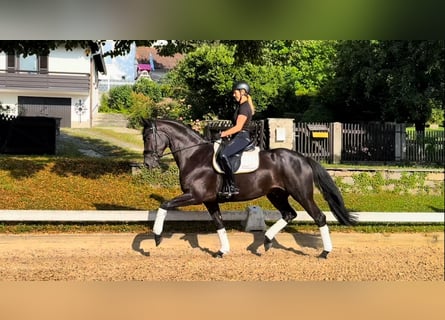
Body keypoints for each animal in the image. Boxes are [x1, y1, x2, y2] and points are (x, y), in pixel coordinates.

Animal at [144, 119, 356, 258]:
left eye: (148, 137)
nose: (147, 164)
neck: (195, 155)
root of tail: (302, 158)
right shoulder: (209, 200)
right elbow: (219, 223)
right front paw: (222, 251)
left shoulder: (195, 195)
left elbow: (164, 205)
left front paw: (157, 237)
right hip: (276, 194)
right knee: (289, 214)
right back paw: (266, 242)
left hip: (301, 194)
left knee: (319, 217)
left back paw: (325, 252)